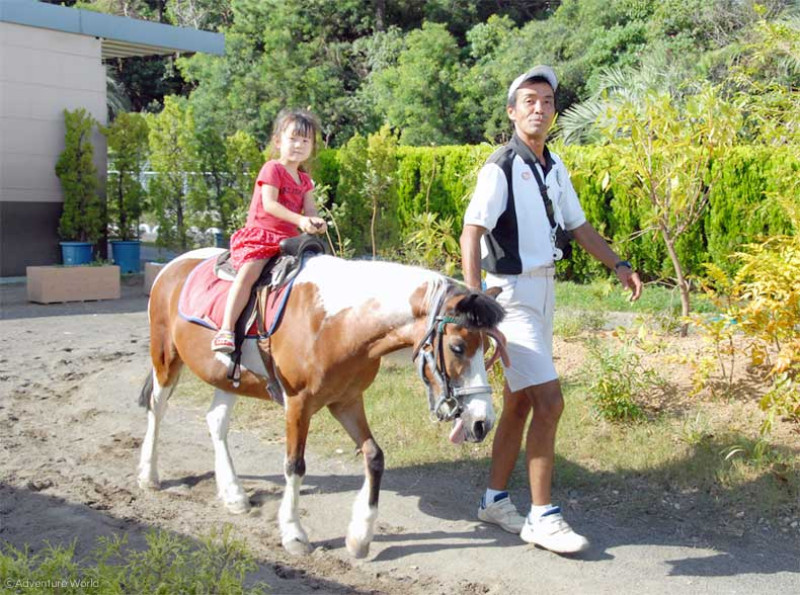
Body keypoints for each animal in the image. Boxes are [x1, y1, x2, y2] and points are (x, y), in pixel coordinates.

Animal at [137, 248, 507, 558]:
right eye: (458, 347)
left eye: (486, 348)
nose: (482, 422)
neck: (335, 323)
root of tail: (171, 265)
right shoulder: (298, 403)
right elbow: (294, 465)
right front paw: (294, 534)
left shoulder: (347, 400)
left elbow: (374, 457)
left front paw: (360, 537)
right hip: (165, 358)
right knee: (157, 408)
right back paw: (149, 475)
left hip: (225, 378)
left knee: (216, 421)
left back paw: (234, 495)